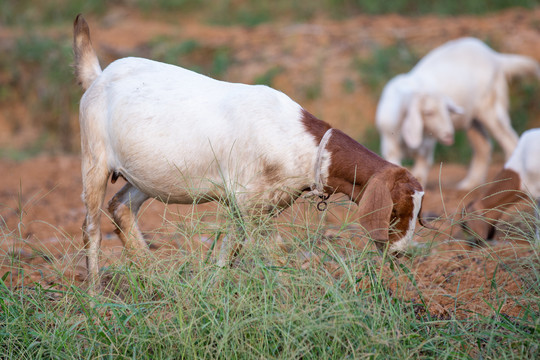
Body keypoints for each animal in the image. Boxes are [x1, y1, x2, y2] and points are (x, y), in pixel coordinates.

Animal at [73, 15, 426, 288]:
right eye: (395, 211)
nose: (400, 252)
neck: (307, 145)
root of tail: (98, 76)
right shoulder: (249, 203)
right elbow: (272, 253)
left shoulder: (254, 206)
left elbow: (229, 254)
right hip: (93, 156)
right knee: (91, 228)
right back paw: (95, 296)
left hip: (145, 174)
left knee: (121, 207)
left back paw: (156, 278)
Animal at [376, 37, 540, 191]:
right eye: (428, 112)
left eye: (446, 111)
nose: (449, 135)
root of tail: (495, 56)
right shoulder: (390, 145)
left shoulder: (427, 147)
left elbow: (420, 172)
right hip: (472, 119)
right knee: (484, 147)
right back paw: (469, 185)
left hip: (491, 106)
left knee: (509, 140)